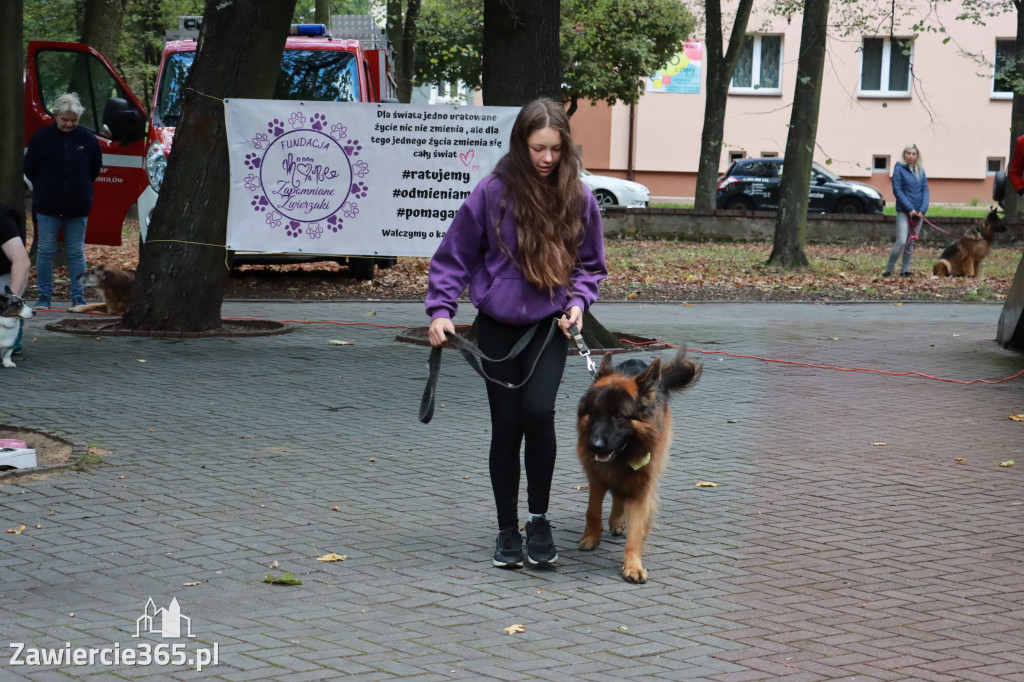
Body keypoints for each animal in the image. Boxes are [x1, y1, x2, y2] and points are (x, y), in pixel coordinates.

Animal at [581, 350, 700, 577]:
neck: (623, 455)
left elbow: (636, 530)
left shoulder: (641, 485)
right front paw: (591, 538)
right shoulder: (596, 476)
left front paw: (633, 565)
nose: (594, 446)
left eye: (619, 416)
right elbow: (592, 510)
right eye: (594, 414)